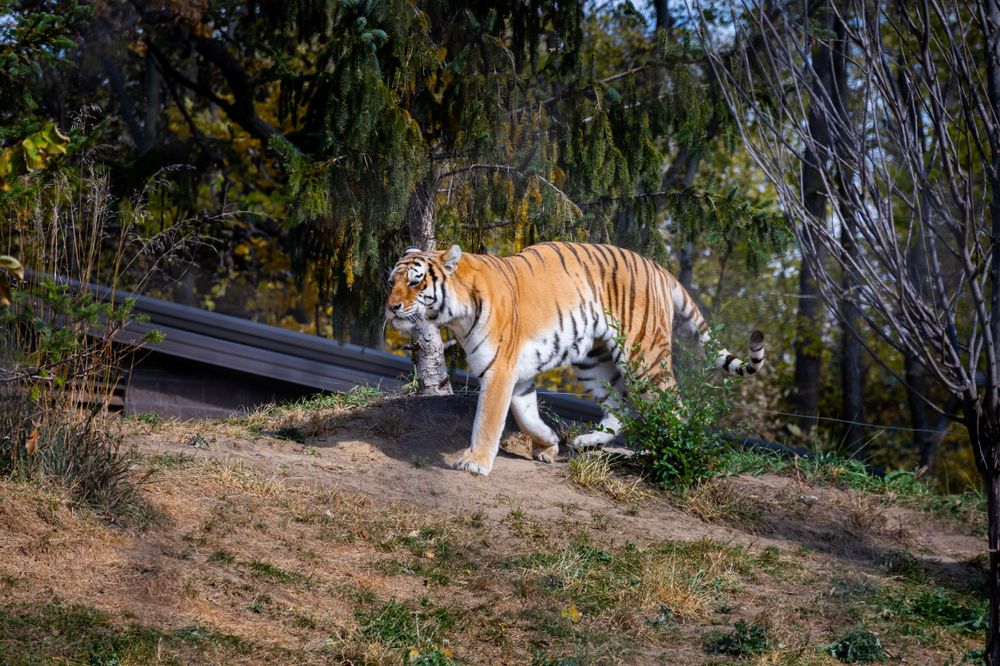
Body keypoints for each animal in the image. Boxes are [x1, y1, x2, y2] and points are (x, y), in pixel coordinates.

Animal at [386, 242, 764, 476]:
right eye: (392, 281)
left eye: (417, 283)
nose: (391, 307)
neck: (456, 314)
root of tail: (659, 267)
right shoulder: (519, 375)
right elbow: (526, 416)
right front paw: (550, 445)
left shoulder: (500, 370)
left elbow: (488, 420)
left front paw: (476, 463)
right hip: (592, 360)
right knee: (621, 407)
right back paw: (585, 442)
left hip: (644, 357)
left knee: (676, 409)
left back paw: (673, 458)